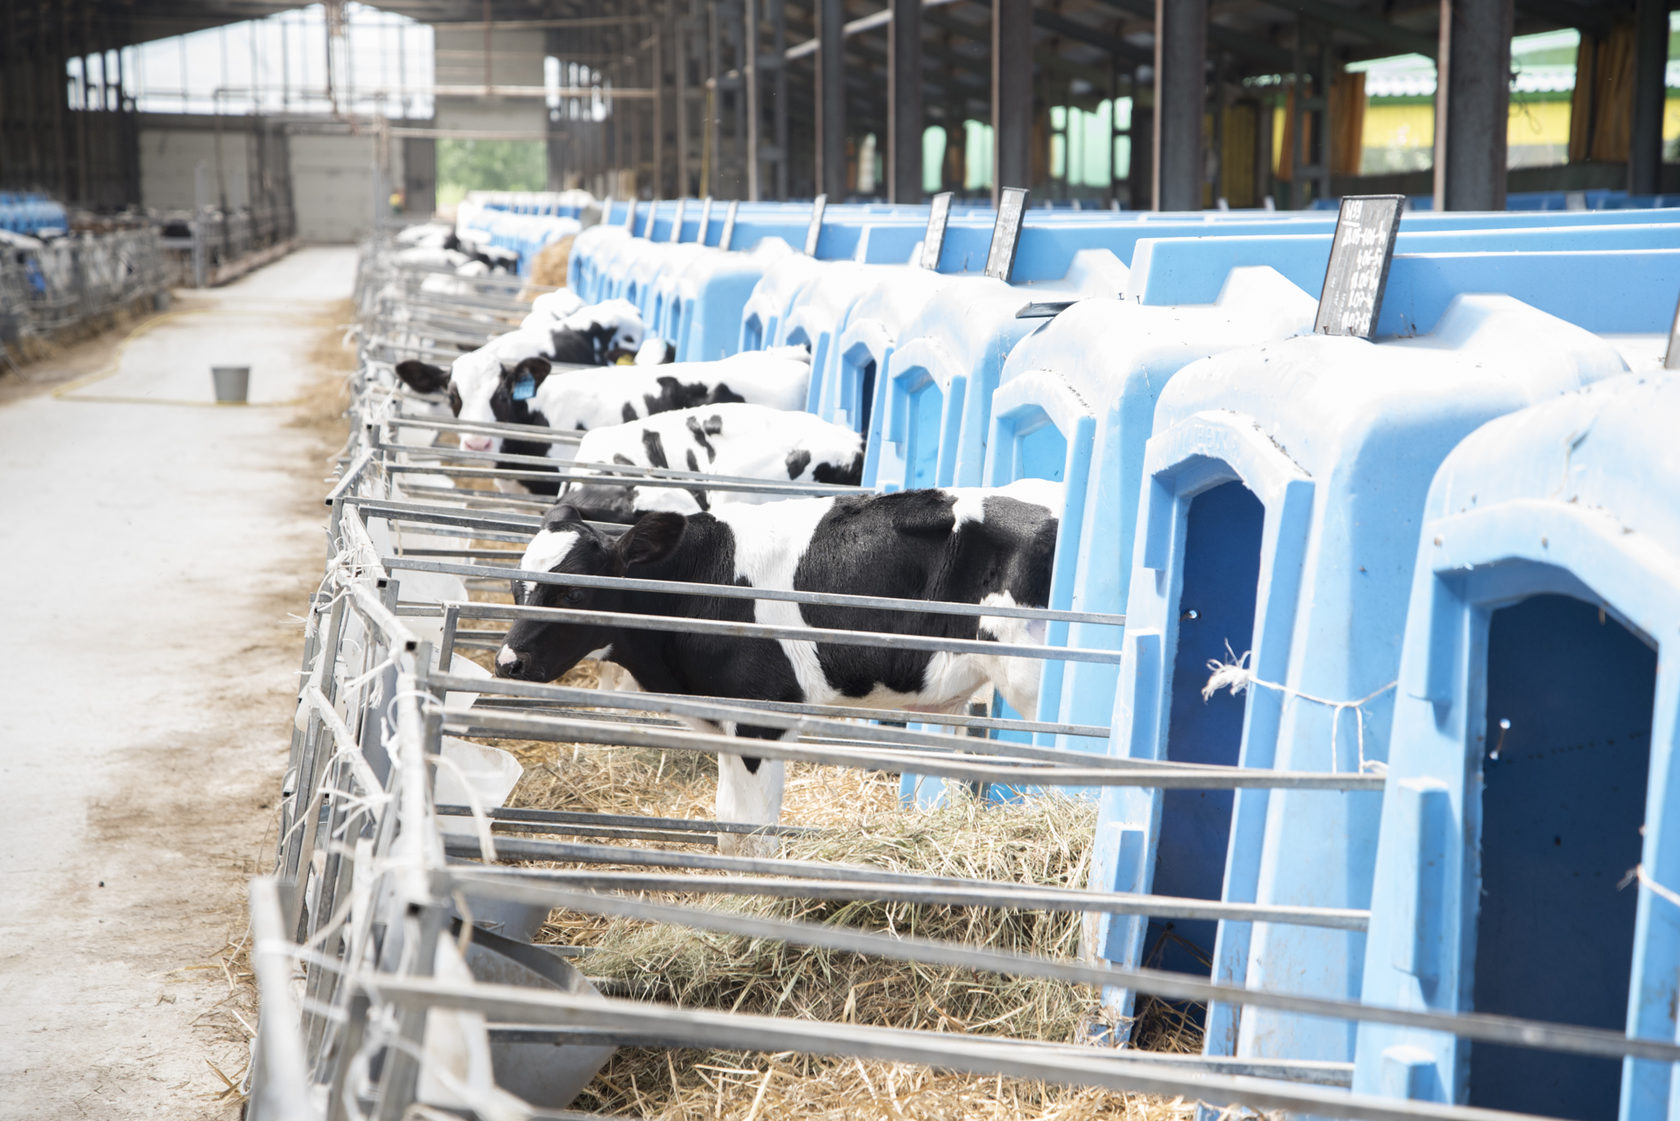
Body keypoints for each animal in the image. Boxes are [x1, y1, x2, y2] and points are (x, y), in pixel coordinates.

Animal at [490, 477, 1061, 853]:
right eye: (517, 585)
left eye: (573, 592)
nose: (507, 662)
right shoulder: (722, 716)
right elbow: (728, 824)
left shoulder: (763, 713)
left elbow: (757, 829)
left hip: (1032, 679)